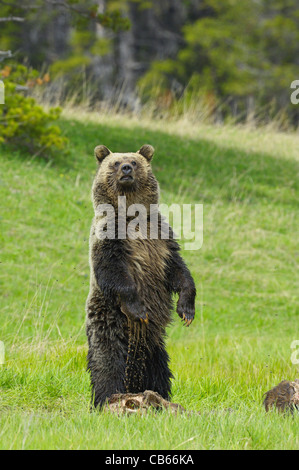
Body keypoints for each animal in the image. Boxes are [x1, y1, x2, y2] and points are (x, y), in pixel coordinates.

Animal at [85, 143, 196, 408]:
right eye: (115, 162)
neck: (131, 215)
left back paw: (158, 396)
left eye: (134, 162)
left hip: (154, 342)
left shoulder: (161, 238)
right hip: (109, 318)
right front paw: (138, 309)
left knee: (158, 367)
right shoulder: (109, 236)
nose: (126, 168)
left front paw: (186, 310)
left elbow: (178, 270)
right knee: (108, 361)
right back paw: (108, 398)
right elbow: (113, 272)